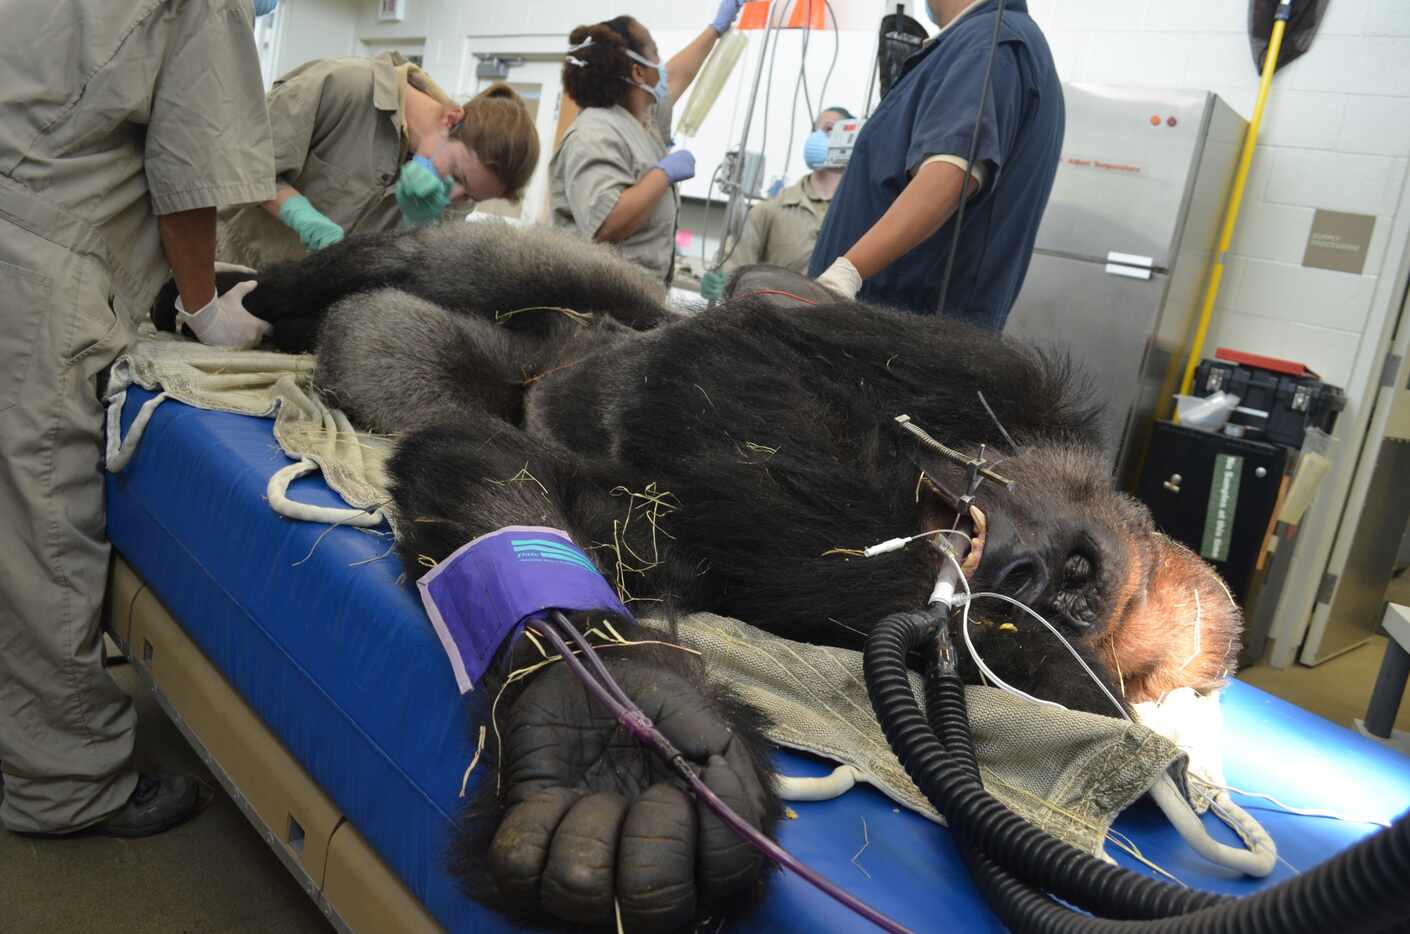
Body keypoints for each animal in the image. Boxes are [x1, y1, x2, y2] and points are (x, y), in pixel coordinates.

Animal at [151, 225, 1235, 934]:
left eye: (1020, 629)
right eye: (1077, 572)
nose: (1016, 565)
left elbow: (556, 501)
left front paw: (620, 720)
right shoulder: (989, 372)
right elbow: (768, 310)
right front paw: (605, 733)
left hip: (473, 363)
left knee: (402, 352)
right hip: (588, 295)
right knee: (452, 264)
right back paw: (249, 300)